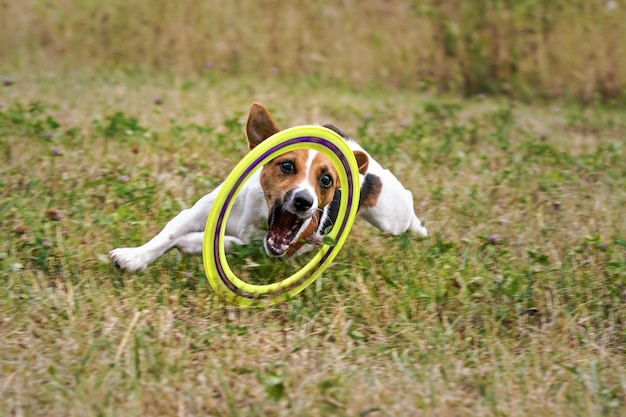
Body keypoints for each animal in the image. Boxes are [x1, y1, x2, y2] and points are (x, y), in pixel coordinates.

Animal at [109, 102, 426, 272]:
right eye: (287, 166)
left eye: (326, 180)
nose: (304, 201)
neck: (259, 214)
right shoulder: (197, 212)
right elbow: (169, 233)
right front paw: (133, 257)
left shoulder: (272, 250)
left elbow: (226, 244)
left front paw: (190, 244)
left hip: (389, 216)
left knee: (407, 206)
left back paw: (420, 228)